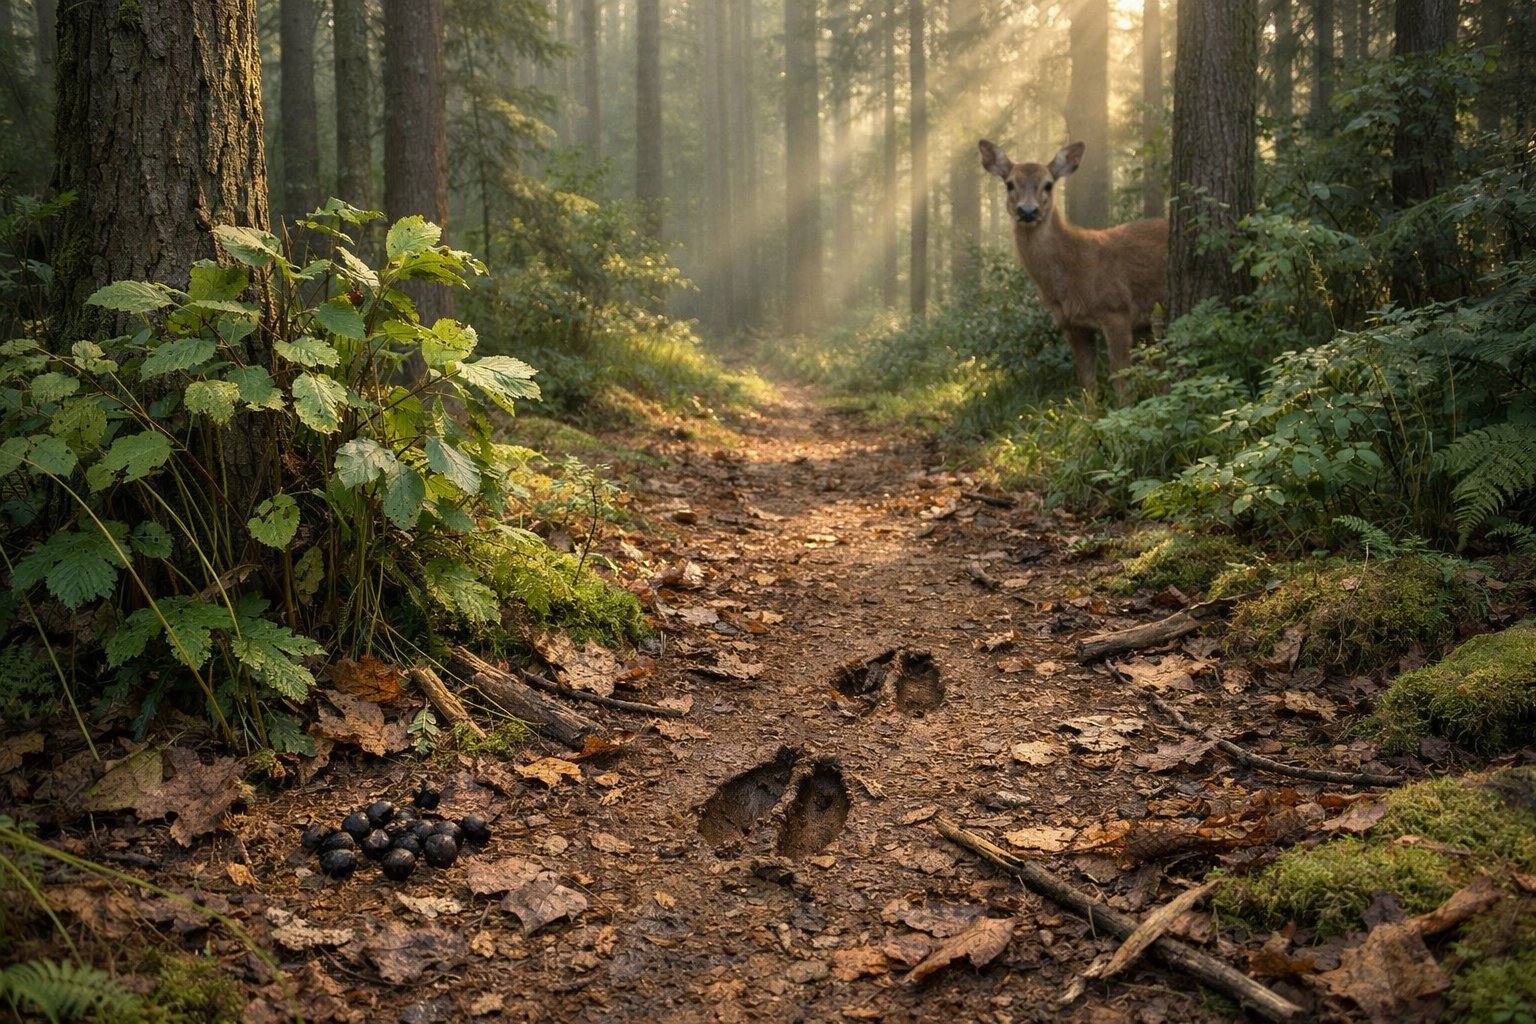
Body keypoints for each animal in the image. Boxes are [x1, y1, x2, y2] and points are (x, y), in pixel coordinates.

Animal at [978, 139, 1168, 402]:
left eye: (1048, 184)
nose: (1027, 211)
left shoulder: (1116, 310)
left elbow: (1120, 379)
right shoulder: (1073, 325)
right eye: (1009, 184)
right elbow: (1087, 382)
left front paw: (1124, 408)